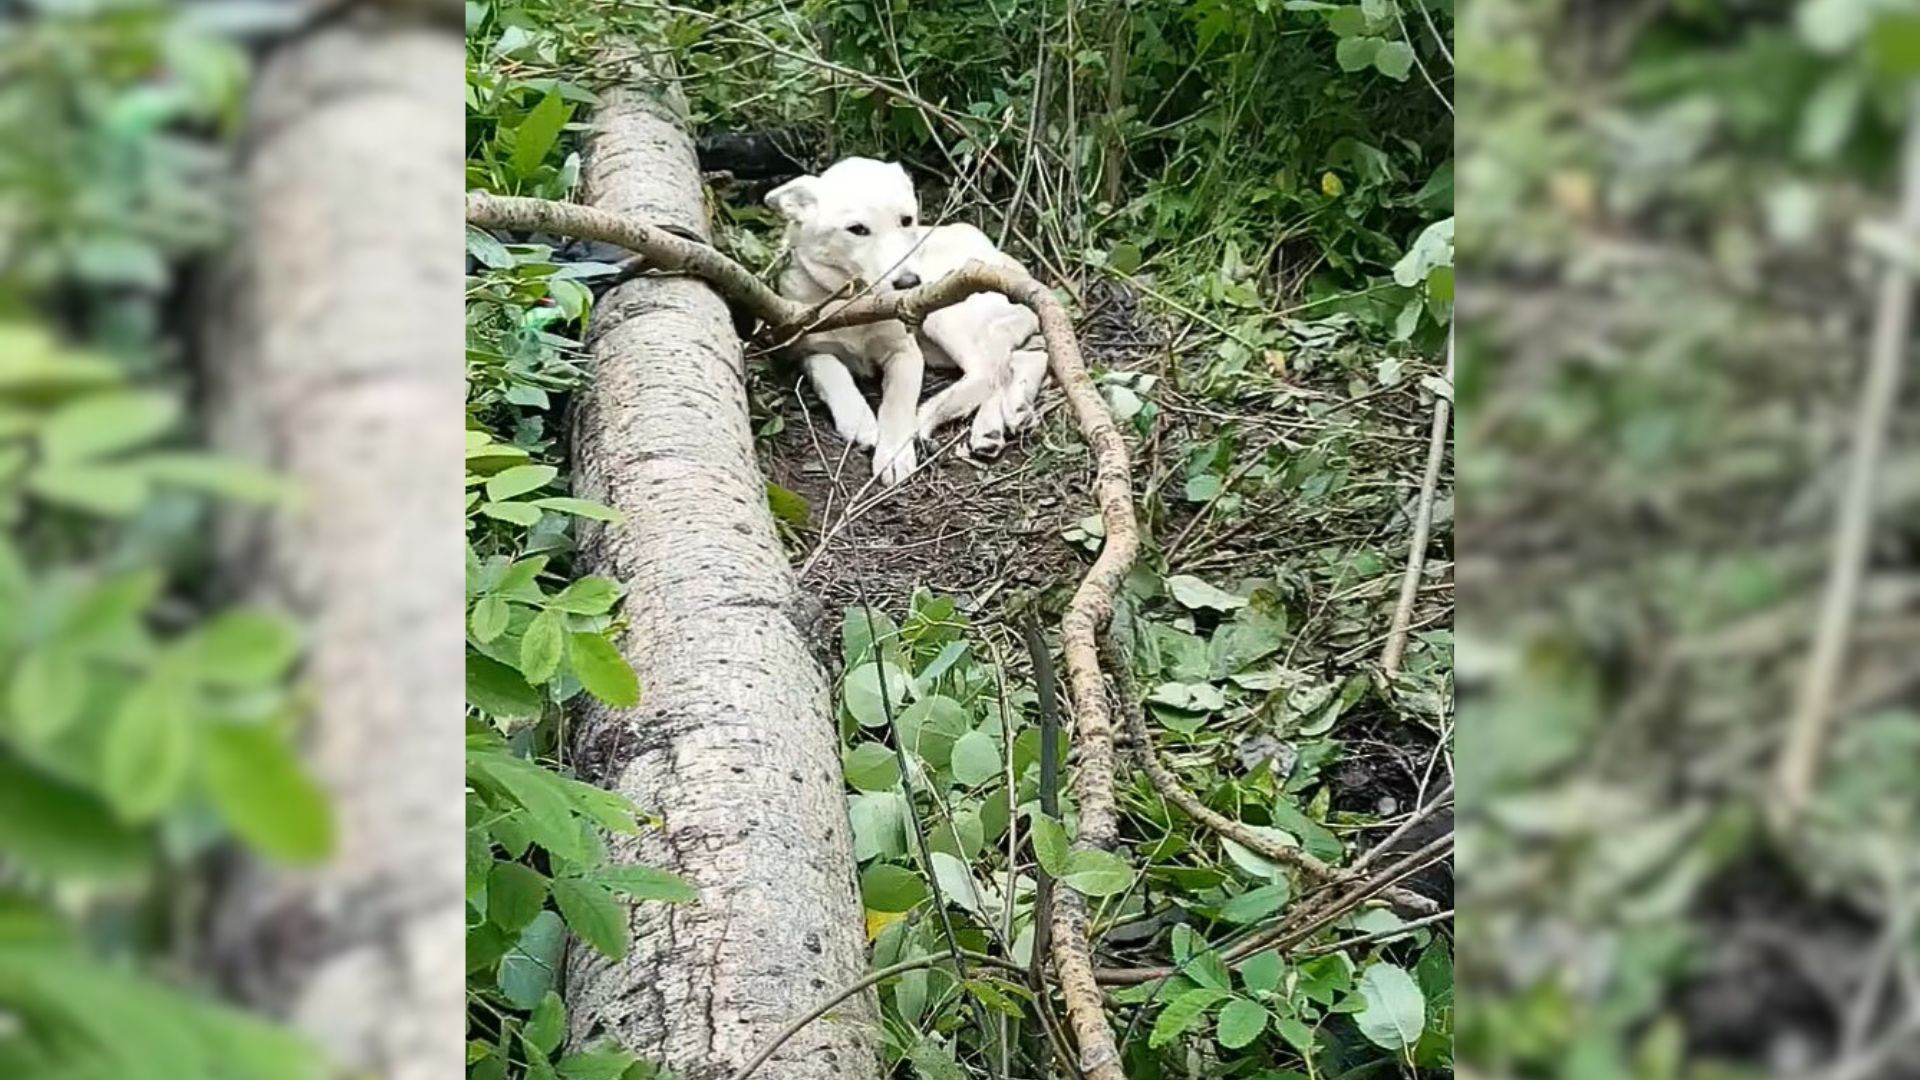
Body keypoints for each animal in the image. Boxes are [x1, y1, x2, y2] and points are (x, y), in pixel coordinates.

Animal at [764, 156, 1052, 484]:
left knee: (988, 371)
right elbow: (831, 371)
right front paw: (858, 419)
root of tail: (1008, 264)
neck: (858, 303)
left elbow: (896, 404)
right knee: (1020, 359)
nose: (909, 283)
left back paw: (928, 416)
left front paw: (893, 454)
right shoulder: (805, 348)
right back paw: (999, 422)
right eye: (857, 229)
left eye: (906, 220)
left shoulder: (906, 352)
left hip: (944, 311)